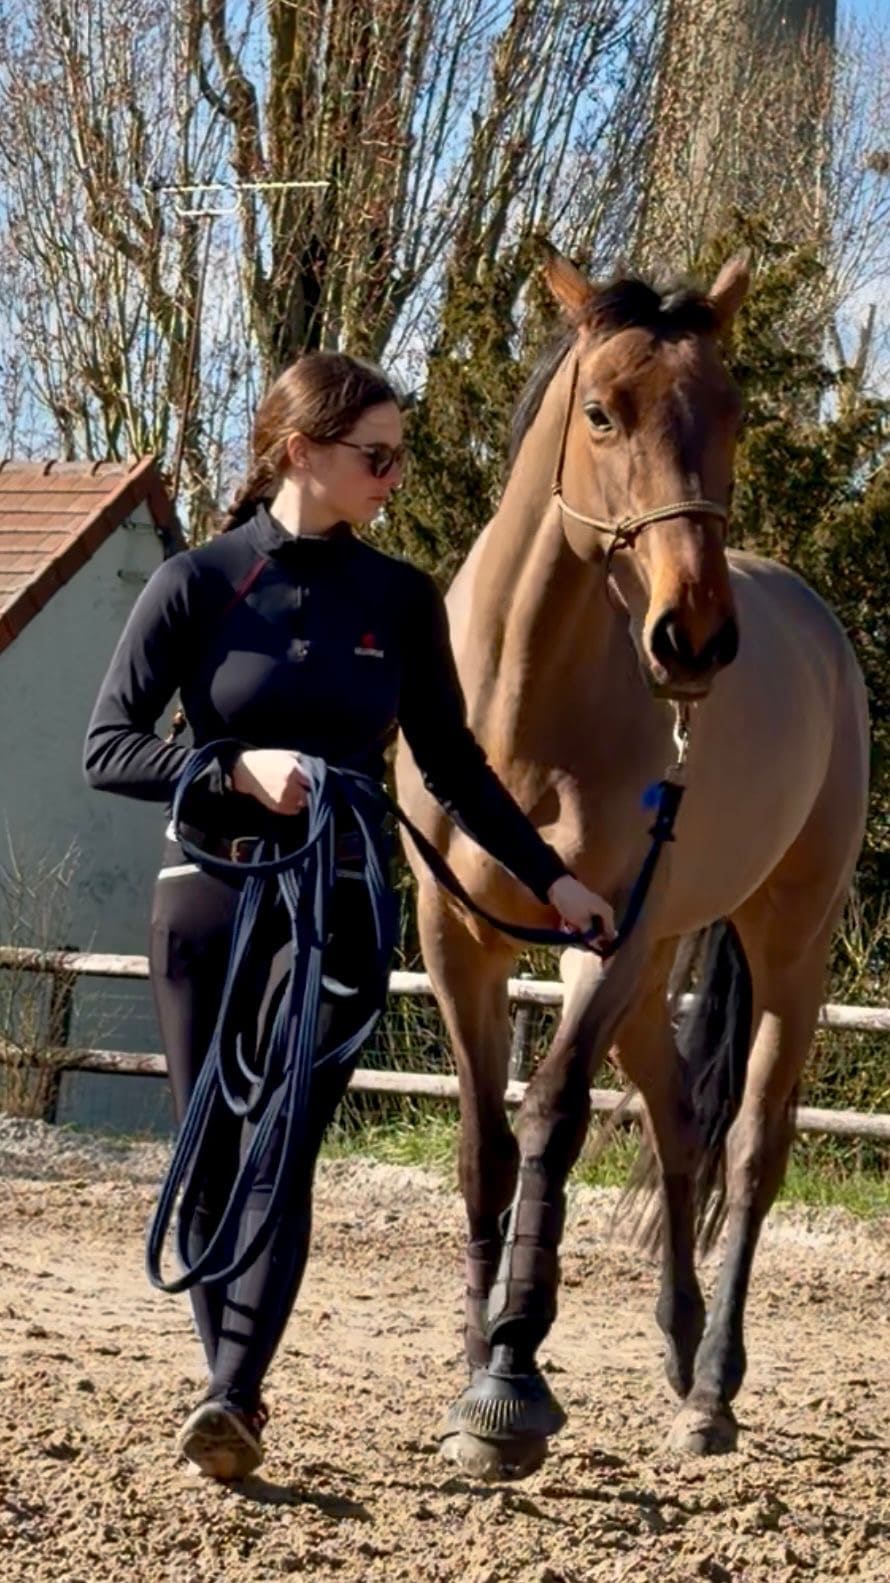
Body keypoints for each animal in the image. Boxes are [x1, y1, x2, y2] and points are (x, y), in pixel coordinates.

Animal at [394, 249, 869, 1479]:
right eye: (602, 411)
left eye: (734, 414)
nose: (692, 638)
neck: (518, 706)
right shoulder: (457, 940)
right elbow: (482, 1147)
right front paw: (477, 1355)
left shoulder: (603, 934)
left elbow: (552, 1120)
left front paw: (513, 1377)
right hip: (654, 971)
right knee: (679, 1125)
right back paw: (679, 1340)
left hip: (784, 946)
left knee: (749, 1149)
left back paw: (710, 1392)